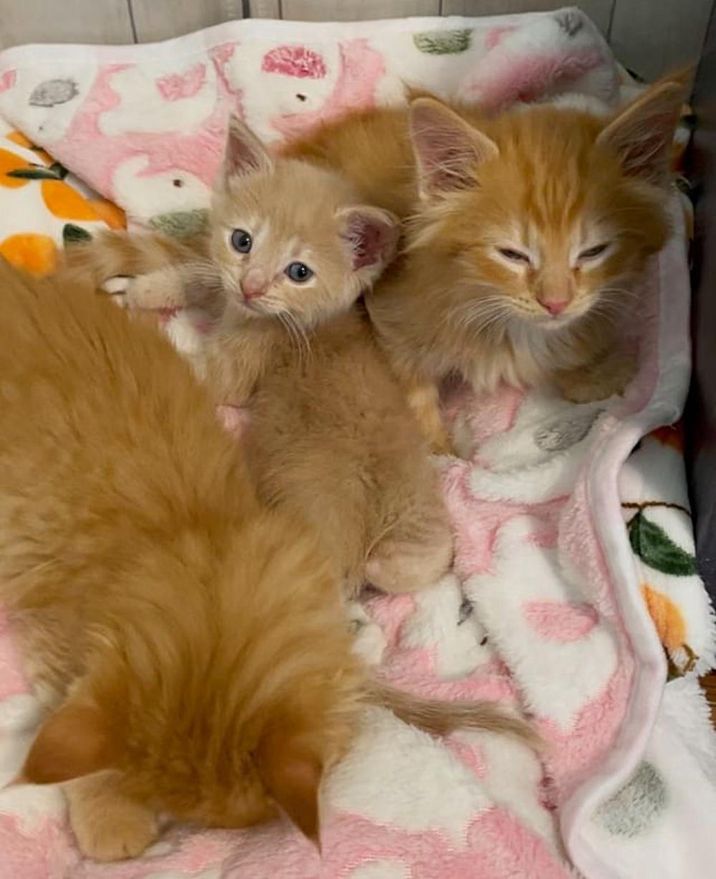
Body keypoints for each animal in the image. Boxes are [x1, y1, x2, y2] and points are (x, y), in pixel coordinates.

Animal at [65, 117, 448, 600]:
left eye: (299, 272)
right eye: (241, 241)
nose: (252, 286)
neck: (305, 324)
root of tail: (361, 551)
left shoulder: (241, 361)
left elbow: (201, 371)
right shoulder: (227, 287)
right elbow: (204, 278)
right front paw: (145, 288)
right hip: (422, 544)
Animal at [286, 75, 688, 454]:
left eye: (593, 251)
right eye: (512, 254)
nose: (555, 303)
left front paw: (597, 375)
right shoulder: (394, 321)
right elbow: (413, 390)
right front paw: (441, 451)